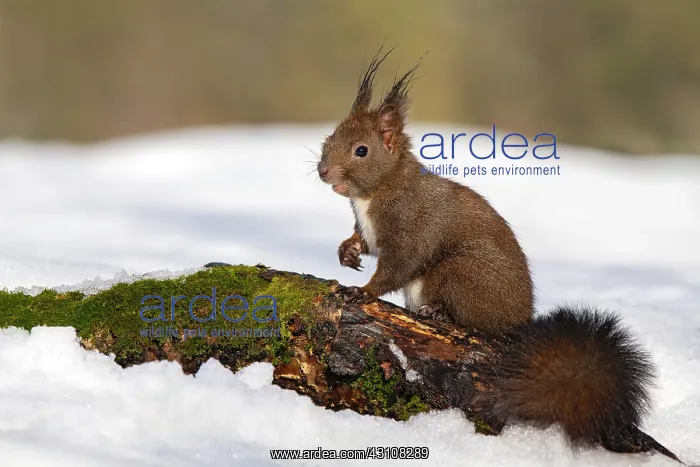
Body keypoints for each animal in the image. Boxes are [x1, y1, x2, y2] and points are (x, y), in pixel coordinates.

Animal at [316, 46, 683, 464]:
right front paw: (347, 251)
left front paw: (362, 292)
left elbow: (398, 266)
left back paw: (439, 313)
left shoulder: (411, 229)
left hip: (461, 272)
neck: (378, 191)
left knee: (475, 322)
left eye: (361, 150)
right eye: (329, 138)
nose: (323, 171)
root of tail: (519, 325)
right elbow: (363, 243)